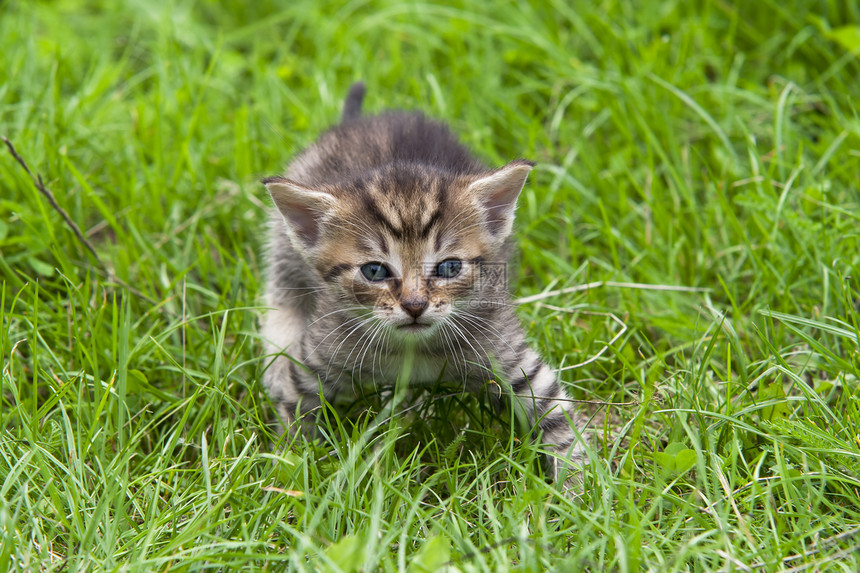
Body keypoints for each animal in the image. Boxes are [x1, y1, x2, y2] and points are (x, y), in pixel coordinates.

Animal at [258, 80, 588, 474]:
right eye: (374, 271)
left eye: (449, 268)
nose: (415, 305)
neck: (413, 351)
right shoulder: (320, 357)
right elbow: (295, 411)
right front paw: (291, 469)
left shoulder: (509, 356)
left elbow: (556, 416)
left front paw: (580, 482)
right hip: (282, 245)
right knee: (281, 293)